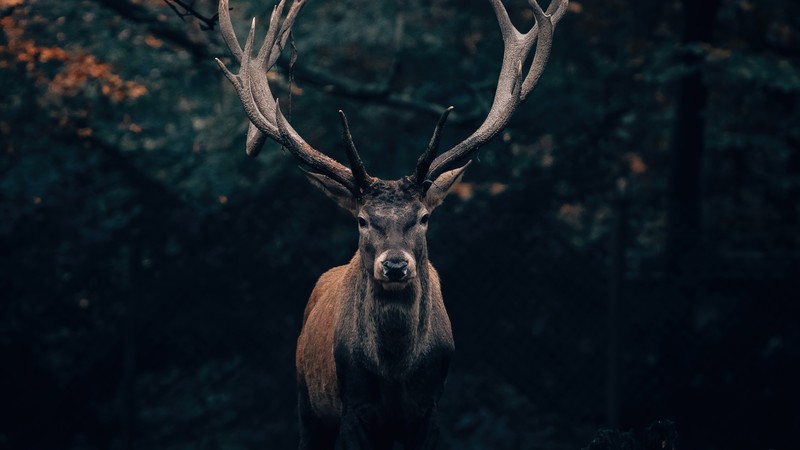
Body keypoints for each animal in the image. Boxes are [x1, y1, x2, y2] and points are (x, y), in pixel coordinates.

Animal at [212, 0, 568, 448]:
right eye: (362, 220)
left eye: (424, 217)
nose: (395, 265)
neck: (396, 376)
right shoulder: (352, 408)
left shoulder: (430, 410)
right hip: (307, 402)